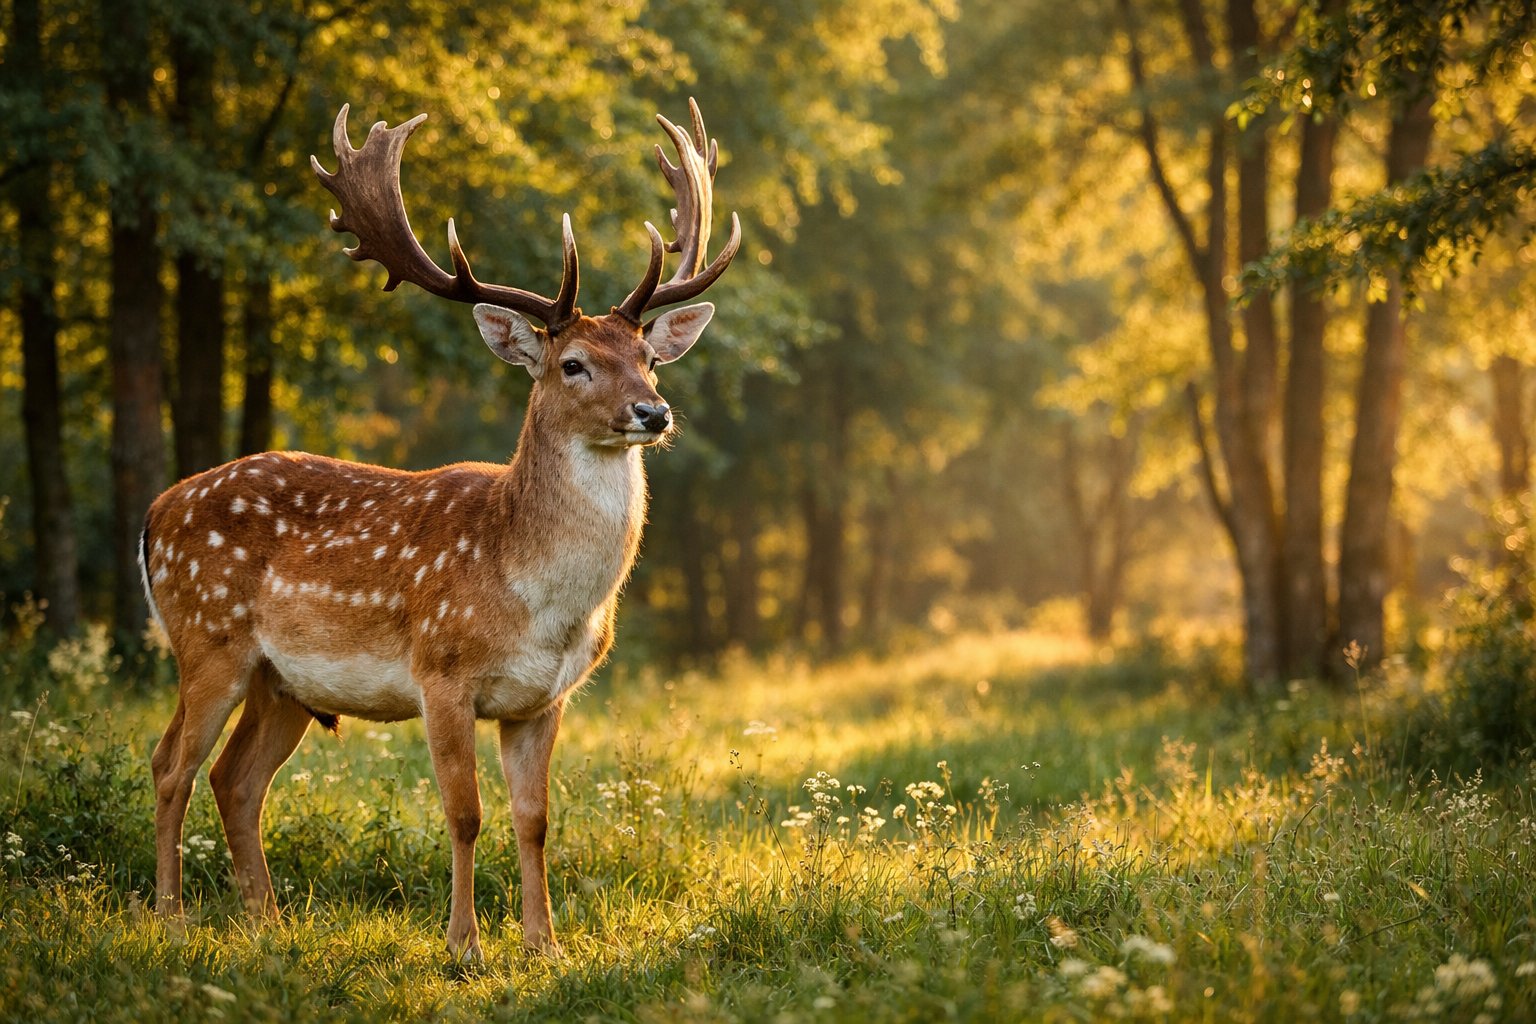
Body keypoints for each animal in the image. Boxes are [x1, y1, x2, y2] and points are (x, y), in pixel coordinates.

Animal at [139, 99, 740, 961]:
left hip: (282, 682)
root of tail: (156, 513)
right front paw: (463, 947)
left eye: (650, 360)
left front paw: (544, 945)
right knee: (171, 765)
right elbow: (465, 814)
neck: (537, 598)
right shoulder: (441, 671)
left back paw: (268, 921)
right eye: (574, 364)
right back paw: (170, 915)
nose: (652, 413)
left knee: (235, 778)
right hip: (206, 637)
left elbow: (535, 819)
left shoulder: (543, 700)